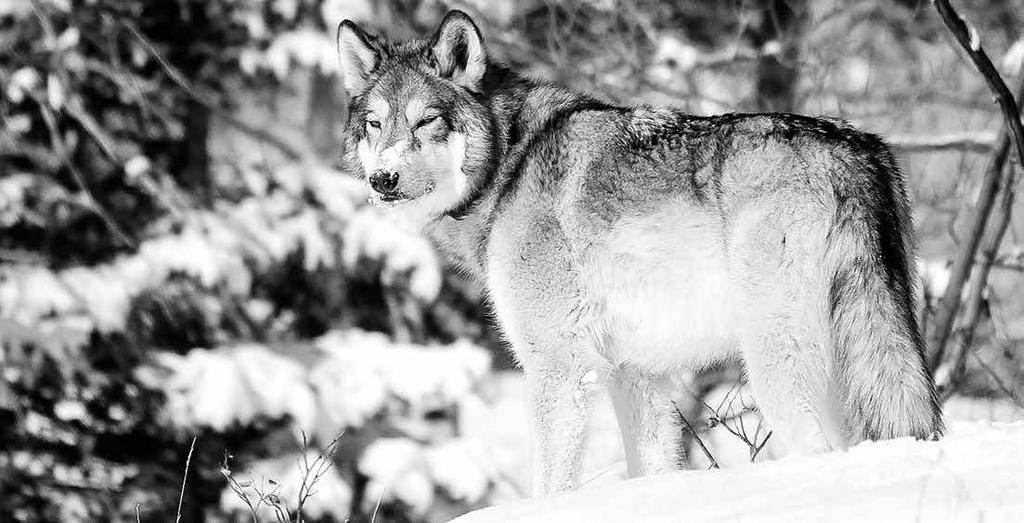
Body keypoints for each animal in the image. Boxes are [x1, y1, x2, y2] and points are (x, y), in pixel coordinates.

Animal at [335, 11, 942, 495]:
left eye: (425, 121)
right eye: (375, 124)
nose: (383, 179)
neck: (508, 167)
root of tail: (857, 154)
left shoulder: (561, 367)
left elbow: (551, 485)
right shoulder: (636, 375)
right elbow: (651, 468)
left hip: (777, 363)